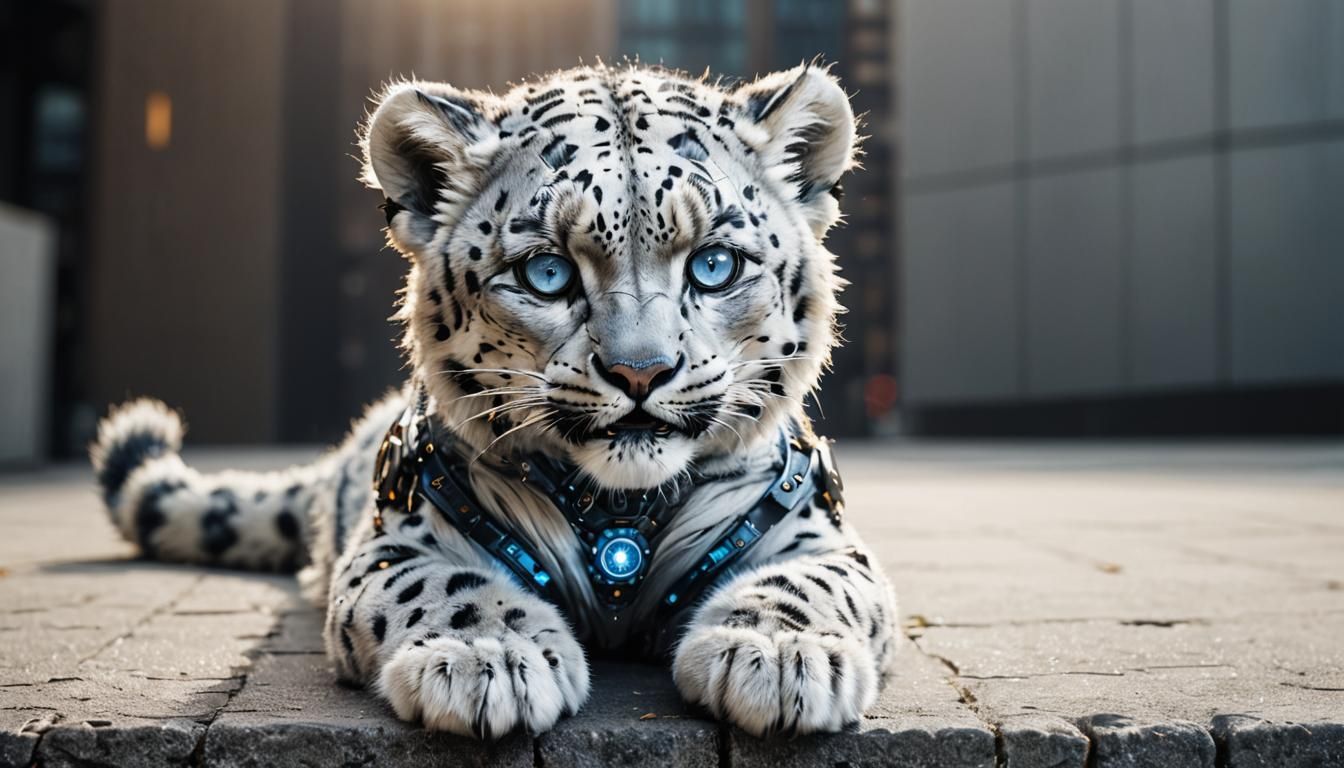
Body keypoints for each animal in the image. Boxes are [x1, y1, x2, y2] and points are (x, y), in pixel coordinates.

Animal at [90, 61, 899, 740]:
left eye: (714, 264)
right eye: (547, 272)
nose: (640, 372)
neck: (620, 521)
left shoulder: (810, 527)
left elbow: (816, 582)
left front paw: (778, 652)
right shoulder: (398, 538)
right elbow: (441, 584)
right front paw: (486, 655)